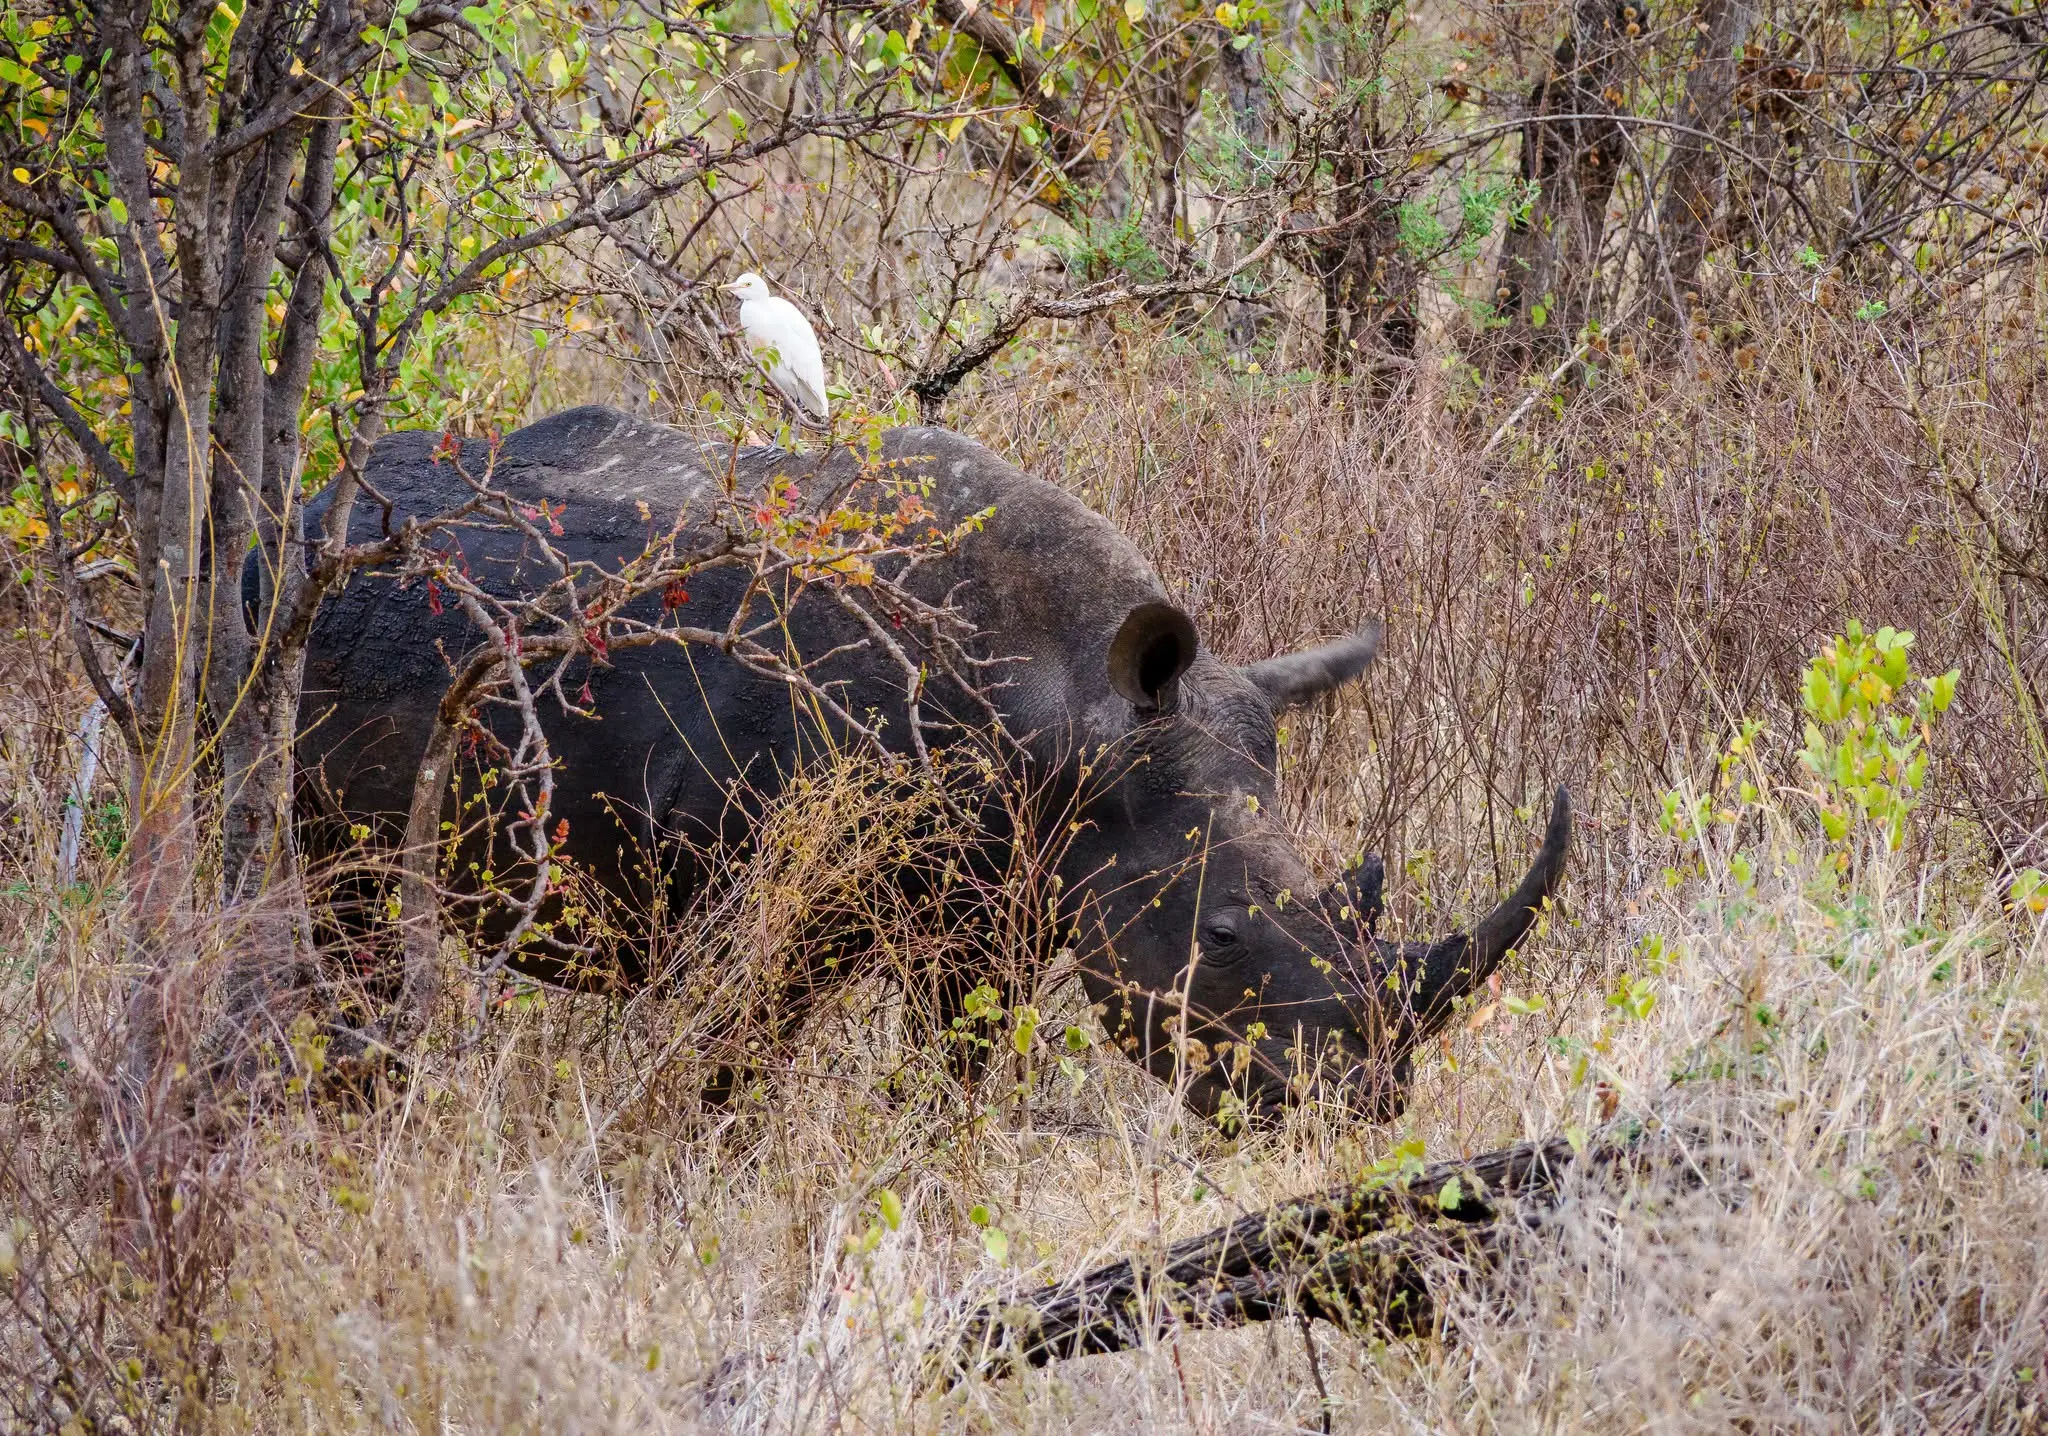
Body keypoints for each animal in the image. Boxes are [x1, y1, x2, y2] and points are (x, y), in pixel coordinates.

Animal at [291, 406, 1569, 1121]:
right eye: (1218, 934)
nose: (1355, 1106)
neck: (1070, 705)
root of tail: (305, 510)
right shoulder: (752, 897)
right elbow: (727, 1066)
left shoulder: (1002, 900)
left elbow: (956, 1069)